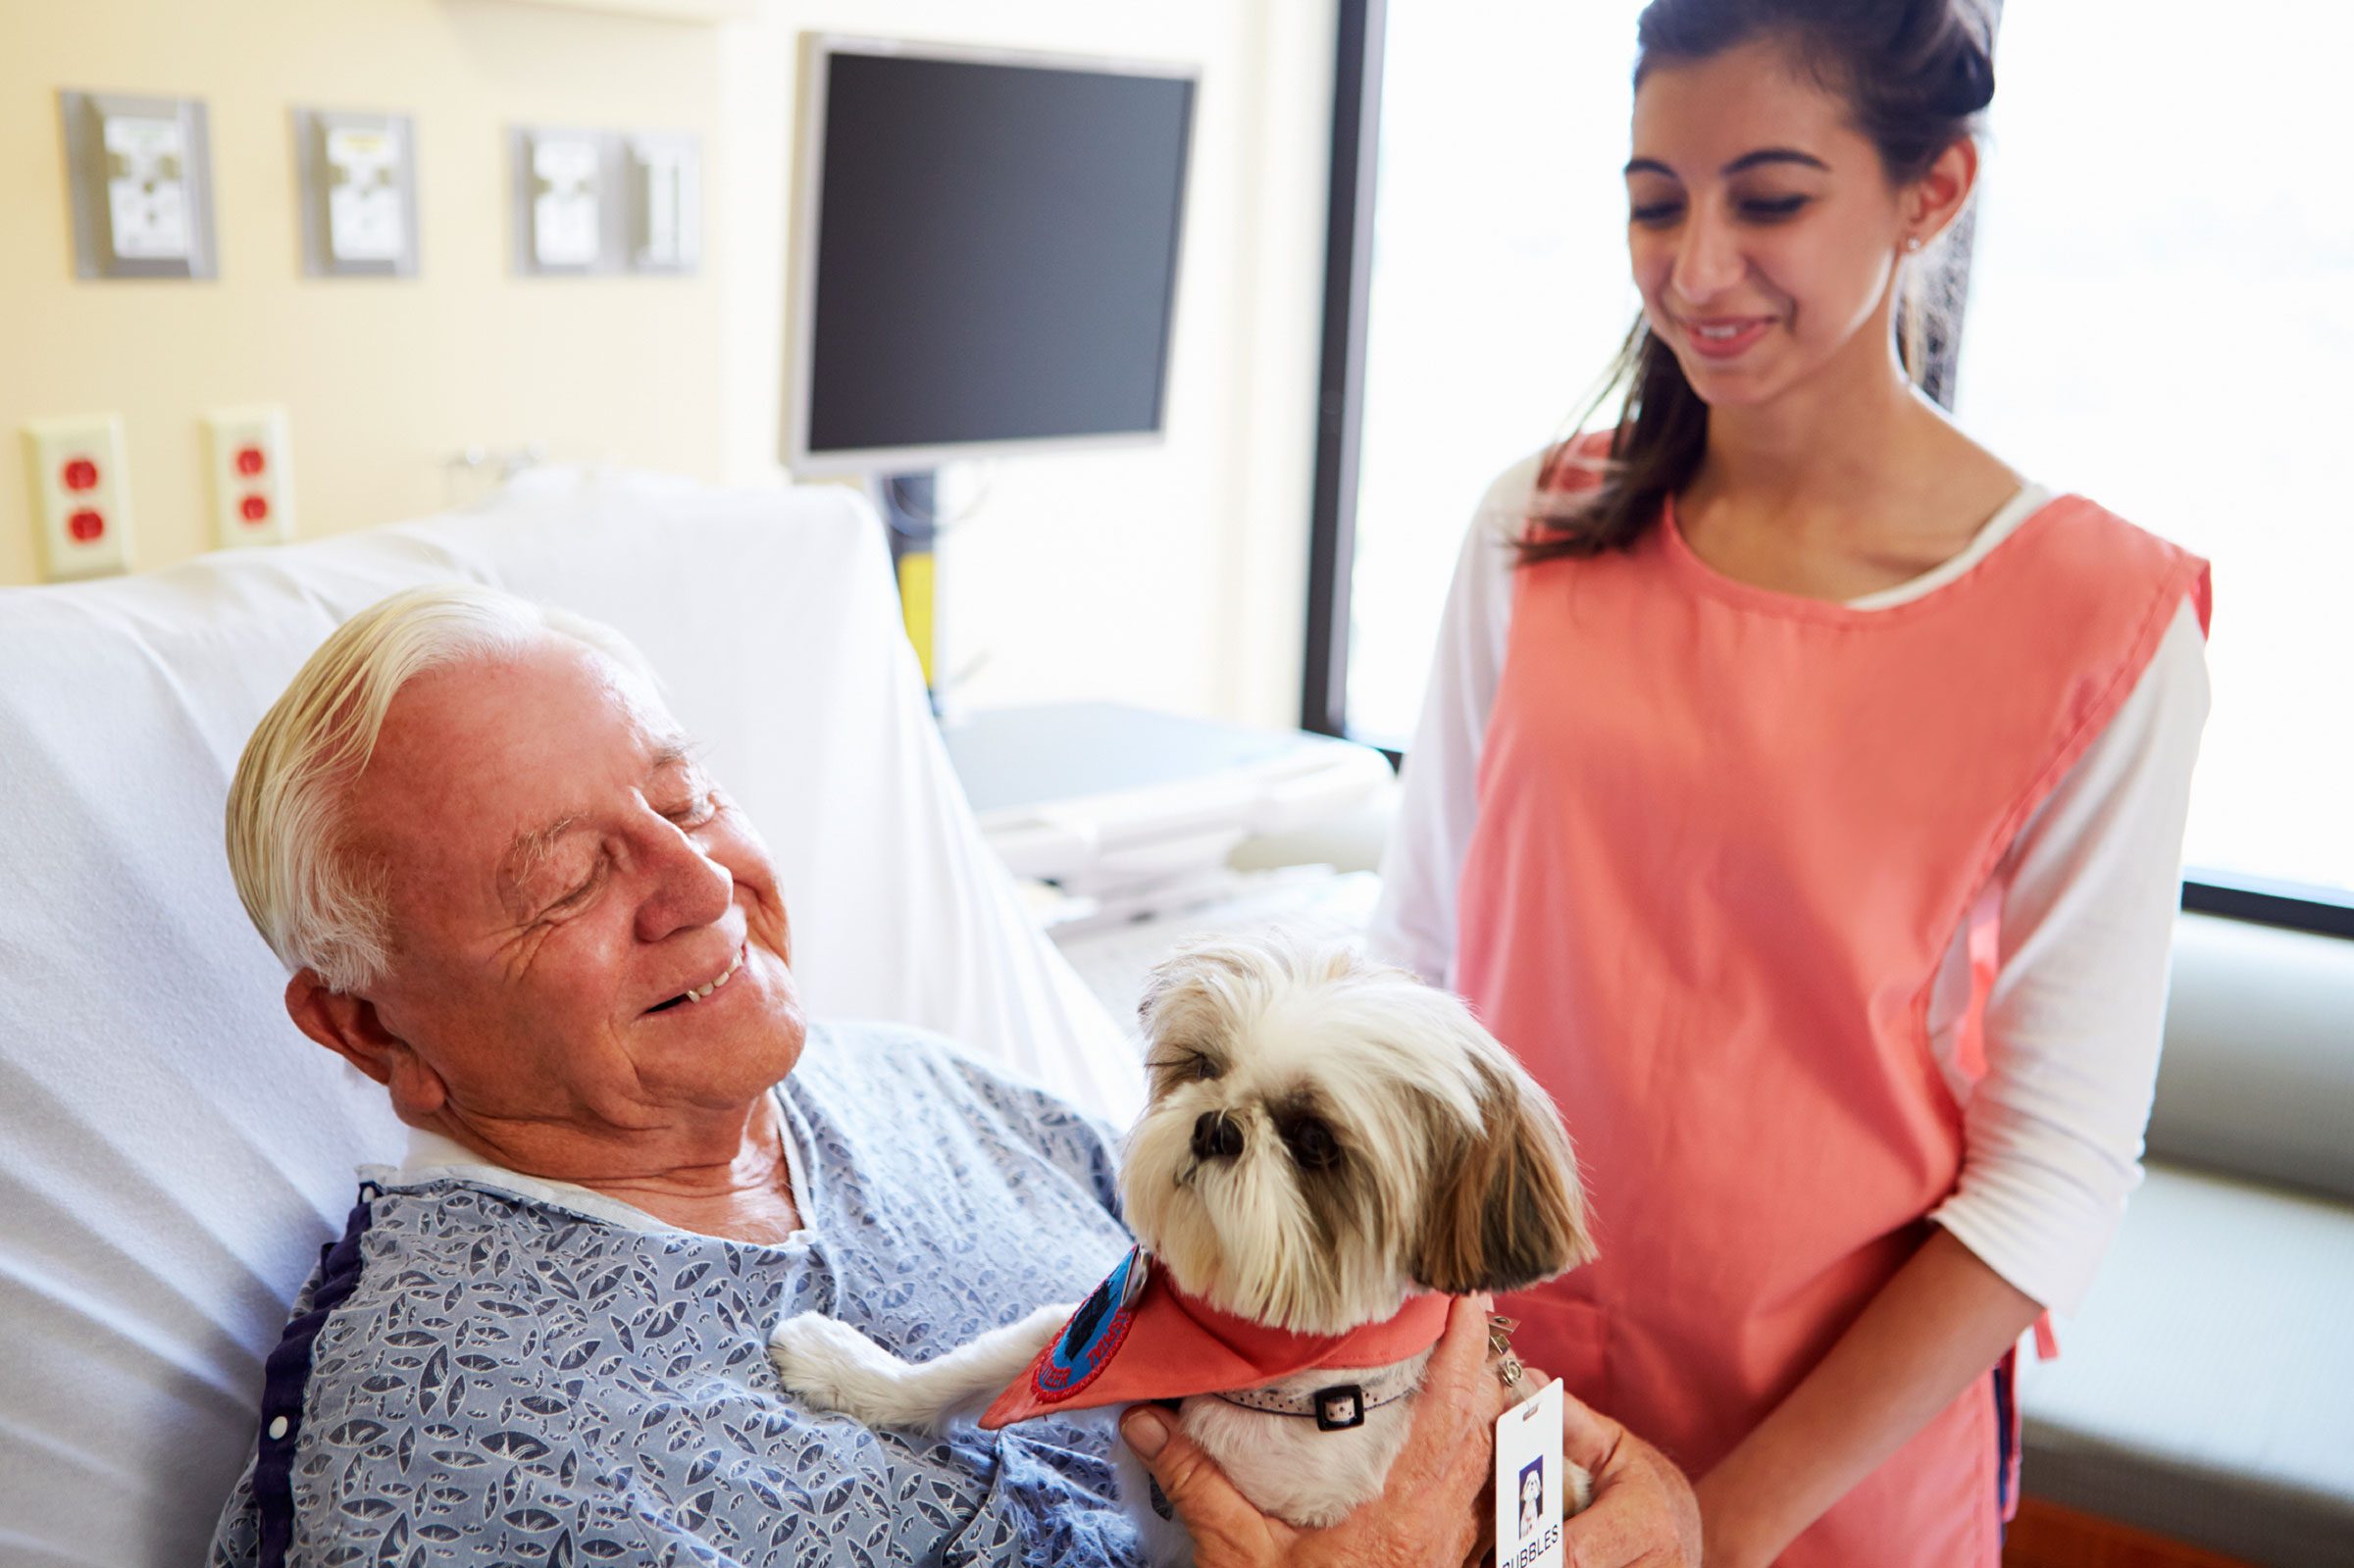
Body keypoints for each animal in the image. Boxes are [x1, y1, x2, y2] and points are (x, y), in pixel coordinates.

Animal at [772, 927, 1601, 1553]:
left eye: (1314, 1140)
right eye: (1205, 1065)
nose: (1218, 1124)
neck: (1248, 1356)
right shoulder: (1082, 1343)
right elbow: (964, 1371)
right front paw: (847, 1370)